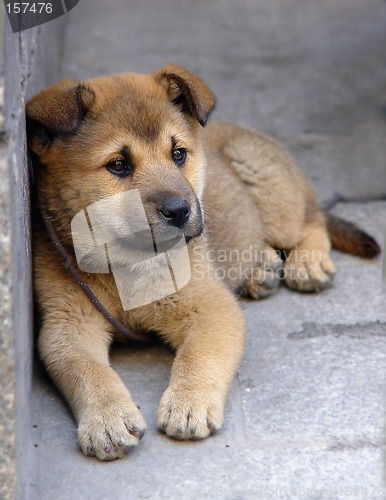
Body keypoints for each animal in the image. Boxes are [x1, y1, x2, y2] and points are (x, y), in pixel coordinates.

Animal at [26, 66, 380, 460]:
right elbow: (88, 370)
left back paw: (308, 263)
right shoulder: (68, 326)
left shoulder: (210, 306)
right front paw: (106, 418)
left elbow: (199, 356)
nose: (180, 211)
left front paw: (189, 403)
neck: (125, 264)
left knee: (312, 219)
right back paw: (262, 271)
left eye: (179, 154)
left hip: (270, 188)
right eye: (118, 165)